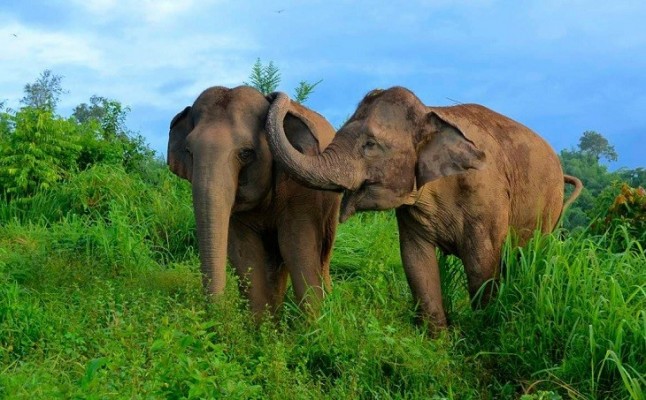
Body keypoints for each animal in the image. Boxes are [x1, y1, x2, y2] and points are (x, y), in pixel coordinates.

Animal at [167, 85, 339, 318]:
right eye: (189, 152)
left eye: (246, 153)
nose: (215, 317)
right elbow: (245, 253)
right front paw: (262, 326)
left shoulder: (303, 192)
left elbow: (297, 245)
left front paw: (314, 325)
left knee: (322, 253)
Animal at [265, 87, 583, 332]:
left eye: (371, 145)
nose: (273, 95)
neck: (434, 113)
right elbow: (416, 260)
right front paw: (437, 340)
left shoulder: (487, 199)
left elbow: (482, 264)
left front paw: (483, 330)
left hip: (549, 206)